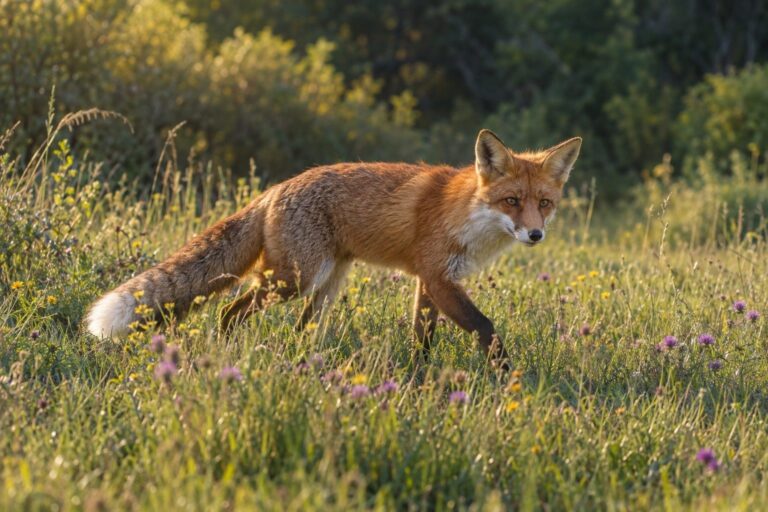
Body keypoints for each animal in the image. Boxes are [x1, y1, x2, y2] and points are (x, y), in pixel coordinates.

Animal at [86, 129, 581, 365]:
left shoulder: (431, 280)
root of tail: (274, 189)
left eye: (544, 204)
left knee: (299, 328)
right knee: (230, 311)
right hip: (296, 280)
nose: (535, 234)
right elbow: (486, 327)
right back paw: (227, 352)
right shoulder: (438, 277)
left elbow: (422, 339)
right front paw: (506, 377)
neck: (468, 216)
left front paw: (419, 379)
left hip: (327, 283)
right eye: (512, 201)